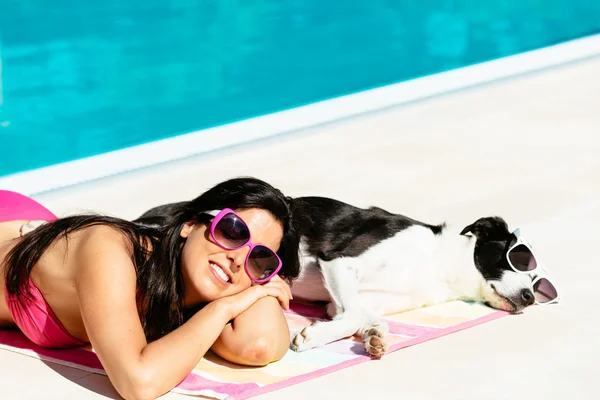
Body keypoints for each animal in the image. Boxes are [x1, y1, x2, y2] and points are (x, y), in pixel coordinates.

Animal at [135, 195, 536, 358]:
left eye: (536, 283)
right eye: (515, 257)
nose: (532, 298)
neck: (440, 265)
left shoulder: (338, 303)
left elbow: (363, 317)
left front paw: (375, 339)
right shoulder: (337, 261)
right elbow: (354, 313)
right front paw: (310, 338)